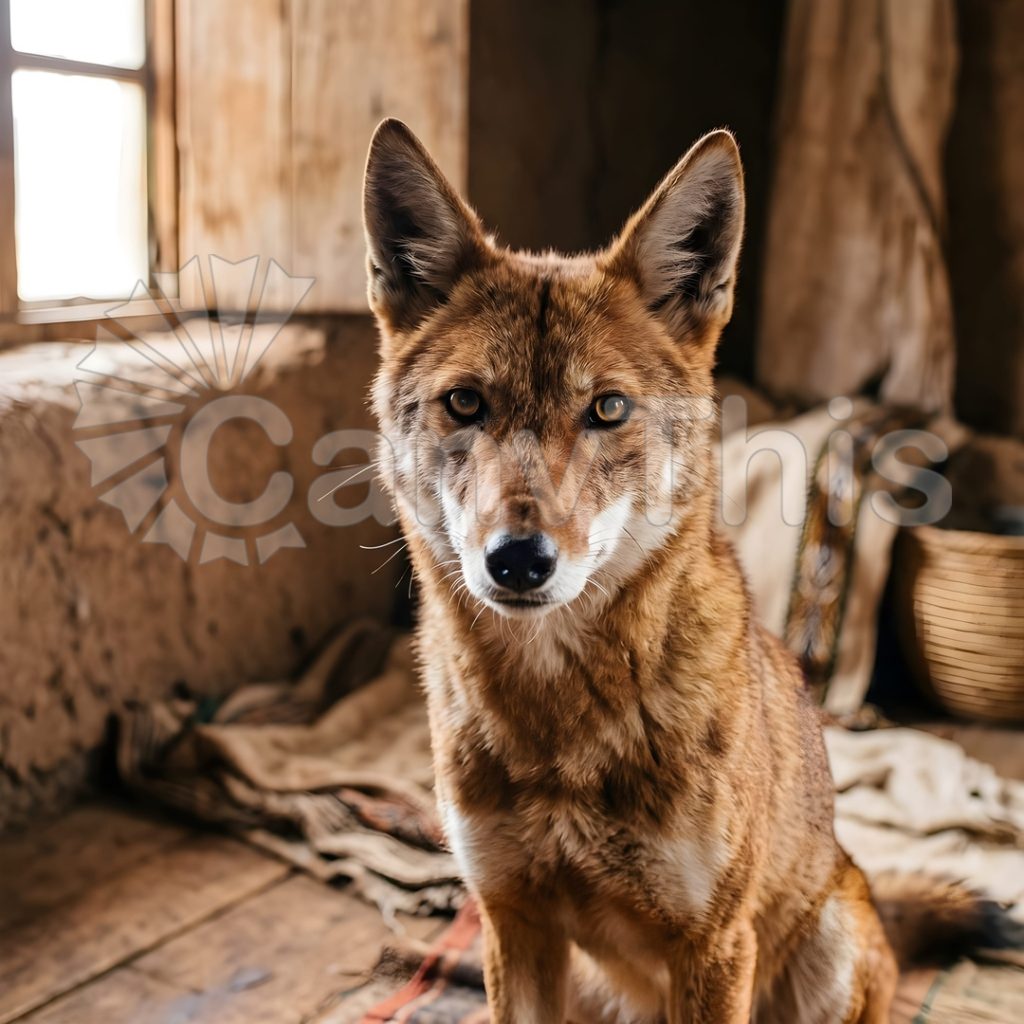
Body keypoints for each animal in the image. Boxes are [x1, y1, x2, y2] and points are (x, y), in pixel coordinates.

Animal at [363, 119, 1015, 1023]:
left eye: (607, 409)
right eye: (466, 403)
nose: (519, 560)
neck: (560, 725)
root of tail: (861, 881)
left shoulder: (711, 945)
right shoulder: (513, 919)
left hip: (825, 955)